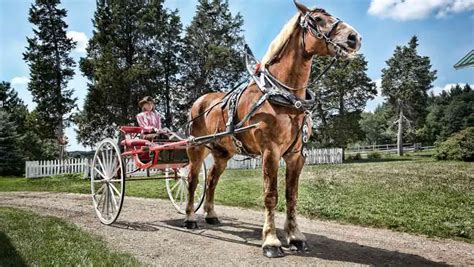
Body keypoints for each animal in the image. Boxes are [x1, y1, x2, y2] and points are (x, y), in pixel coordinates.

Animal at [184, 0, 360, 260]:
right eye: (317, 19)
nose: (354, 38)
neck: (284, 97)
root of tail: (199, 102)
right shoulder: (270, 151)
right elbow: (271, 195)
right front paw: (271, 241)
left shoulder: (296, 155)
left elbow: (291, 195)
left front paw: (295, 237)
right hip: (196, 149)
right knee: (193, 181)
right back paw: (190, 218)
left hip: (222, 153)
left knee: (211, 182)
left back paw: (211, 215)